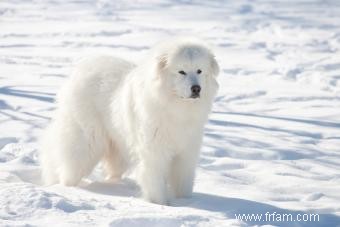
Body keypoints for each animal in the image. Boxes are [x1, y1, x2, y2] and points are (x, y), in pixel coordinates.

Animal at [39, 38, 219, 205]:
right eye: (181, 71)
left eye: (199, 71)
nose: (196, 89)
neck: (175, 107)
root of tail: (79, 71)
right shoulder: (154, 151)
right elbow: (154, 180)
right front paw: (159, 204)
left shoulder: (186, 152)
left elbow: (183, 181)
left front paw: (186, 202)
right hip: (86, 143)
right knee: (70, 169)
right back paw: (68, 189)